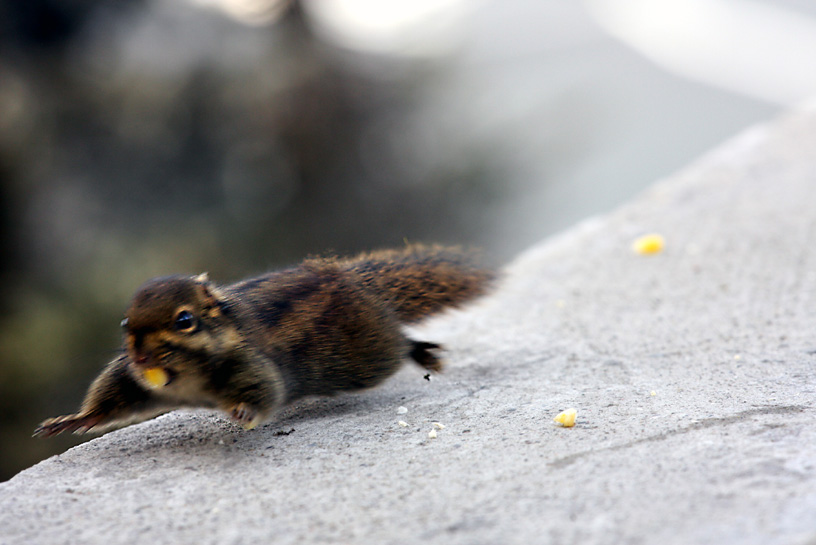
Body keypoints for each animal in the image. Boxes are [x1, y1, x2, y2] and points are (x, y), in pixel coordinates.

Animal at [33, 244, 490, 436]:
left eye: (185, 320)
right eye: (126, 321)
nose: (141, 356)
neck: (186, 379)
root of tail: (355, 281)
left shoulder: (252, 366)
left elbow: (264, 392)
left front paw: (243, 412)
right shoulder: (132, 380)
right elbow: (112, 399)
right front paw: (75, 420)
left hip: (368, 355)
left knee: (399, 344)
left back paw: (423, 352)